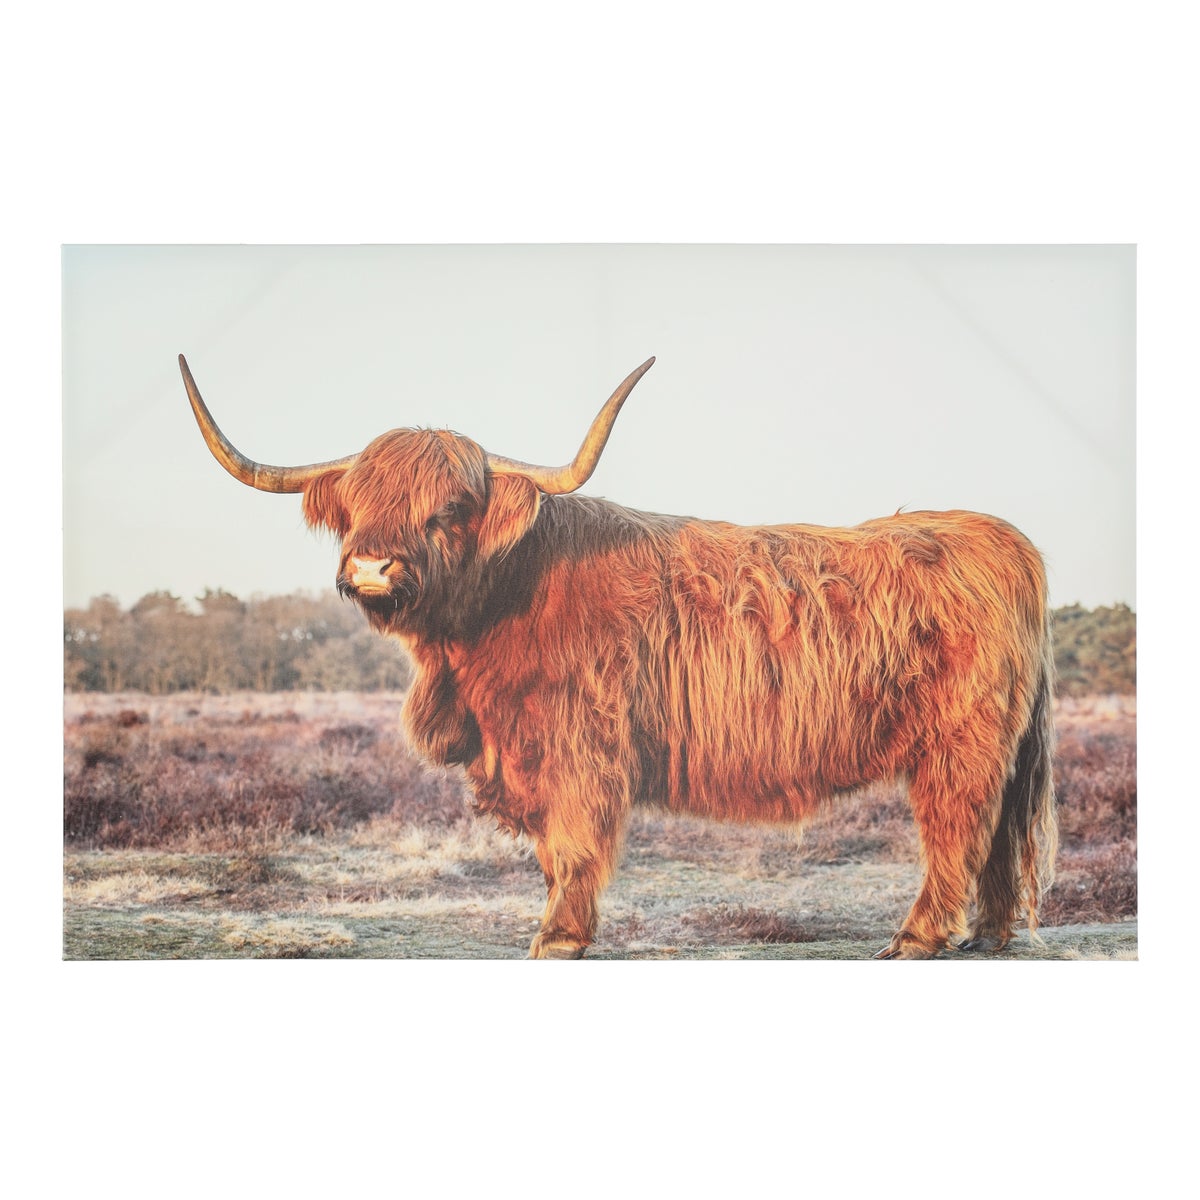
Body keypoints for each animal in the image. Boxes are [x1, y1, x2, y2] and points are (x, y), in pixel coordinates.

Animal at [179, 353, 1057, 959]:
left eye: (450, 508)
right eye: (357, 505)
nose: (371, 567)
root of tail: (994, 535)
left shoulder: (577, 746)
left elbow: (572, 843)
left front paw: (560, 936)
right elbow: (546, 849)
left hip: (959, 745)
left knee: (957, 830)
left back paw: (917, 938)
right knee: (995, 840)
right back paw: (988, 935)